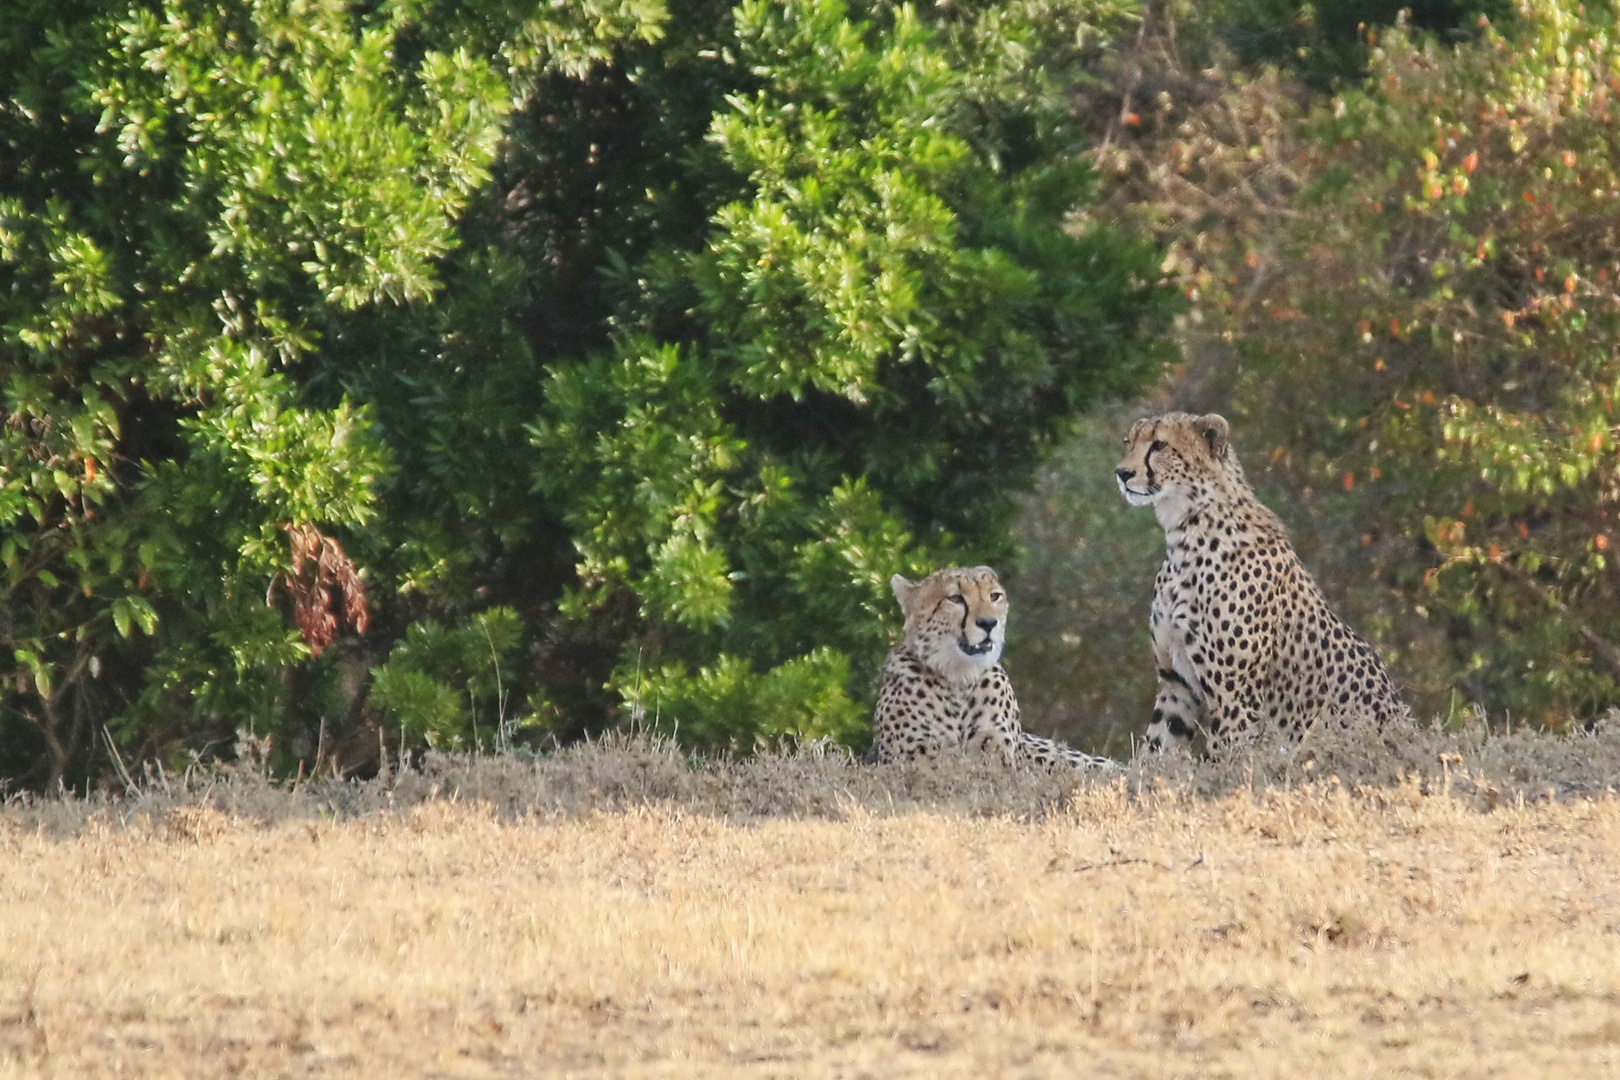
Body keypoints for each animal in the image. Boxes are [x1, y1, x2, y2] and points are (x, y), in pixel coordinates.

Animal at [861, 566, 1114, 767]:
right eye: (955, 599)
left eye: (994, 596)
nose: (988, 623)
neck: (959, 679)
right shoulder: (913, 753)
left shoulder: (997, 747)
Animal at [1114, 414, 1406, 751]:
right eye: (1130, 442)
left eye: (1159, 445)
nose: (1122, 473)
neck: (1184, 533)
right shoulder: (1177, 685)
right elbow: (1155, 752)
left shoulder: (1236, 699)